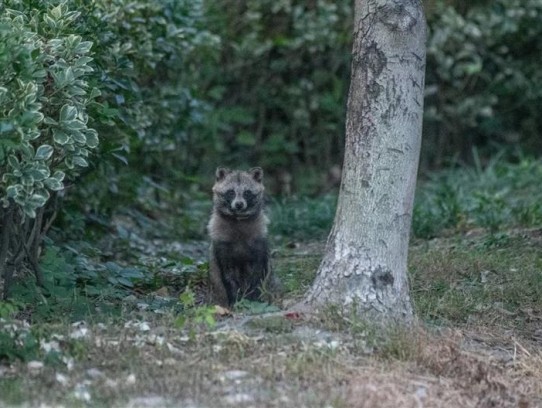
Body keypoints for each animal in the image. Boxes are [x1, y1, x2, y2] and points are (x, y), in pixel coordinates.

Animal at [209, 167, 276, 306]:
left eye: (247, 193)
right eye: (231, 192)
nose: (239, 204)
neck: (238, 219)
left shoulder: (259, 242)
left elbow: (258, 273)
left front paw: (253, 297)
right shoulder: (221, 245)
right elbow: (227, 275)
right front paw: (234, 300)